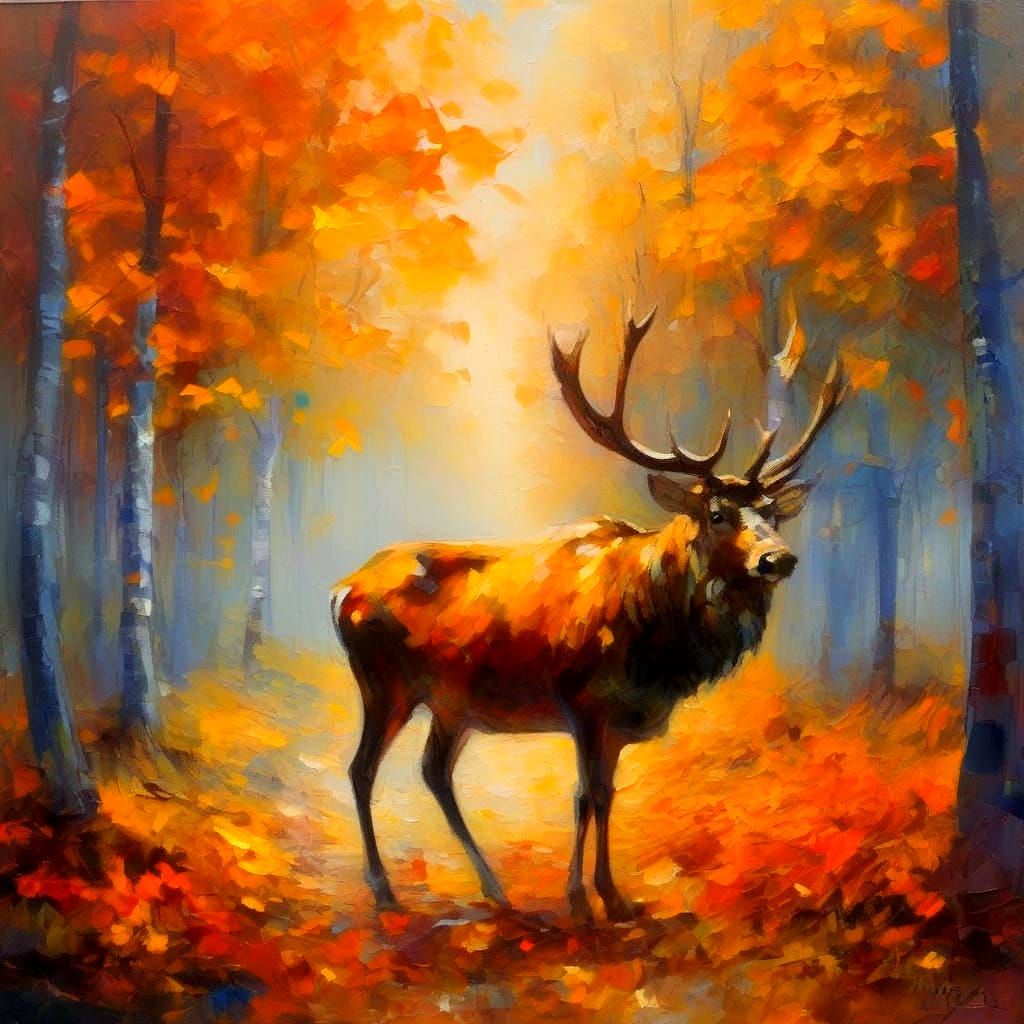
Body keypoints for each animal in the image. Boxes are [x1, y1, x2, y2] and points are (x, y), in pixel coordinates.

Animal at [331, 308, 847, 921]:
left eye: (774, 514)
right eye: (718, 513)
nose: (780, 558)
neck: (657, 642)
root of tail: (341, 590)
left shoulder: (620, 718)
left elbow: (607, 795)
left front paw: (614, 896)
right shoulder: (580, 699)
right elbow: (584, 795)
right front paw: (582, 899)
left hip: (451, 702)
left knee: (434, 771)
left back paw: (494, 889)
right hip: (384, 683)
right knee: (362, 769)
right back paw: (384, 891)